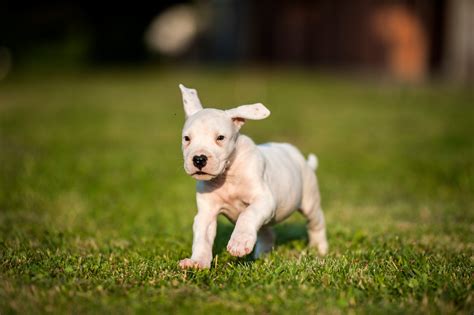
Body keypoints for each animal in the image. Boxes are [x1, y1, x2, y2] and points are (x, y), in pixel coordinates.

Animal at [176, 84, 328, 270]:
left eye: (220, 138)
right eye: (186, 138)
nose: (198, 159)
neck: (228, 175)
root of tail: (303, 160)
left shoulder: (264, 200)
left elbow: (247, 215)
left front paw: (239, 242)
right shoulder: (206, 213)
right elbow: (202, 238)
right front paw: (197, 262)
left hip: (309, 201)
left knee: (316, 223)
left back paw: (319, 248)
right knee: (267, 233)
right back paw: (262, 256)